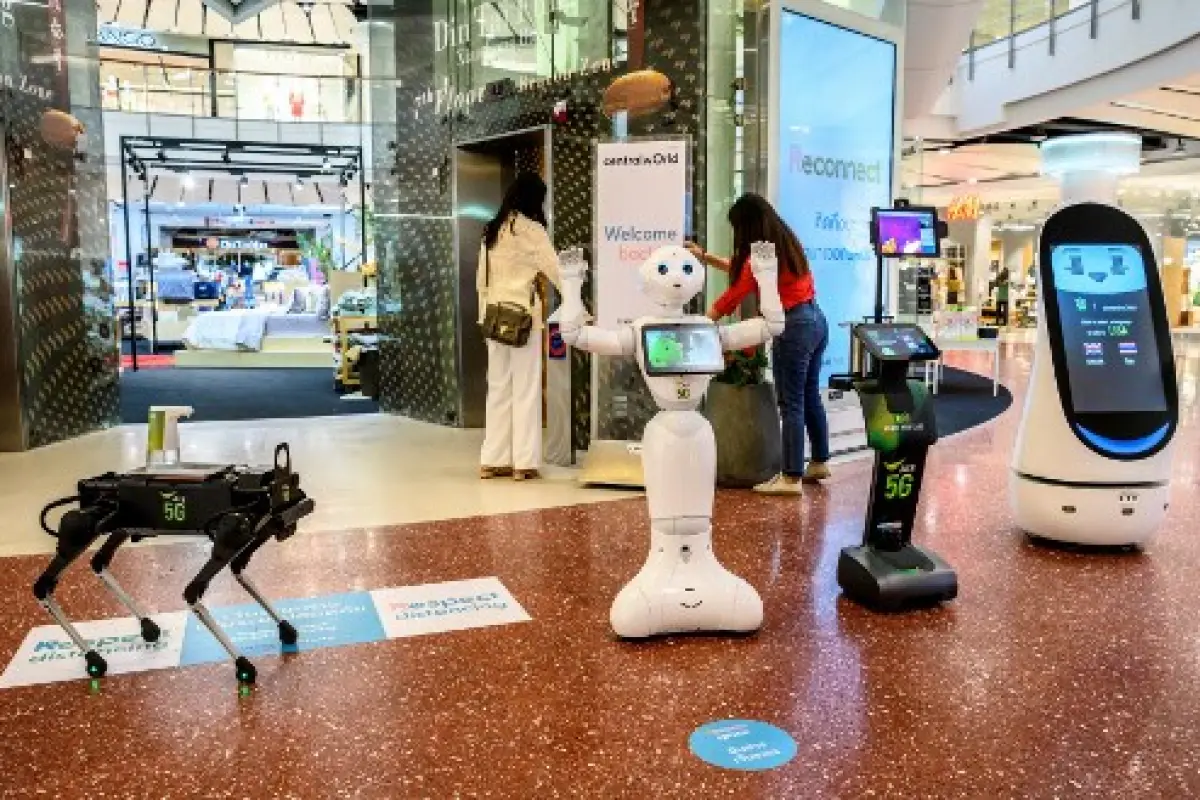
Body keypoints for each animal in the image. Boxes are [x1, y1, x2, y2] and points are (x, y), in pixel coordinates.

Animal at [37, 448, 316, 686]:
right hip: (86, 525)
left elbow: (237, 567)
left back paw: (147, 626)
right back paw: (93, 658)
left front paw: (285, 628)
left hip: (122, 525)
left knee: (99, 561)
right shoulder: (232, 528)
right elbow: (192, 592)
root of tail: (89, 485)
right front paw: (243, 666)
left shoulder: (250, 531)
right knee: (45, 582)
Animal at [556, 241, 782, 633]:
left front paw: (765, 263)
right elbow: (579, 336)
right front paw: (570, 268)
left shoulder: (717, 332)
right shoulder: (632, 335)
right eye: (662, 268)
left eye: (688, 268)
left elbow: (768, 325)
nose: (677, 279)